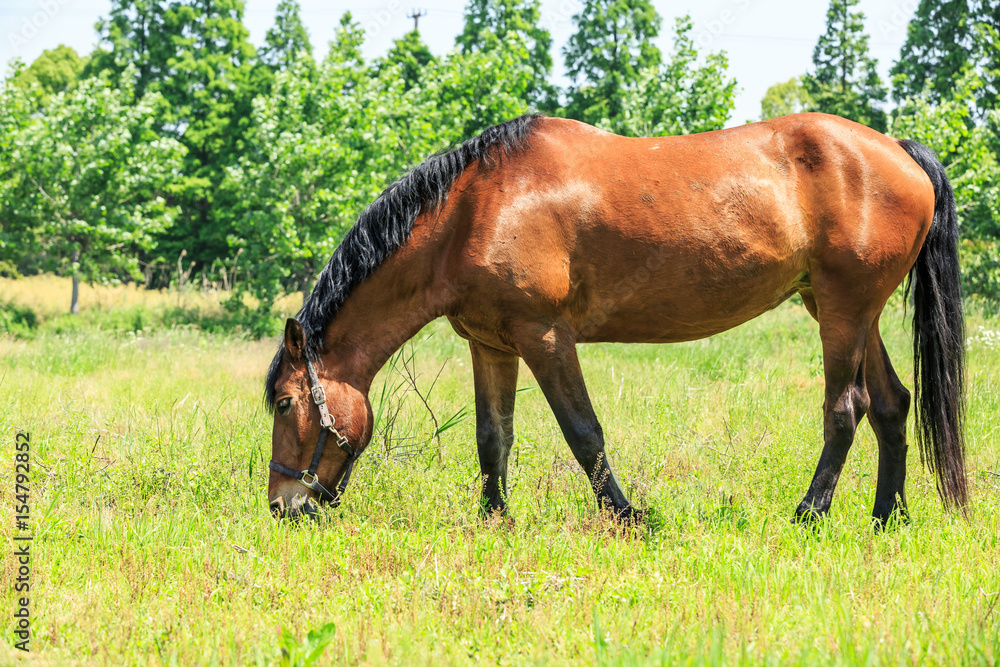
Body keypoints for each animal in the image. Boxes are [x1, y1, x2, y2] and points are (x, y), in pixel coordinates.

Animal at [262, 115, 964, 528]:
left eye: (286, 402)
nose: (282, 506)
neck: (476, 208)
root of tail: (898, 151)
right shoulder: (491, 345)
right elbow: (493, 438)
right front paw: (495, 518)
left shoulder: (545, 335)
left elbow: (584, 432)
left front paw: (629, 517)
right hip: (847, 309)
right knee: (893, 404)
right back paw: (887, 516)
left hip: (843, 312)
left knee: (847, 407)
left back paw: (809, 514)